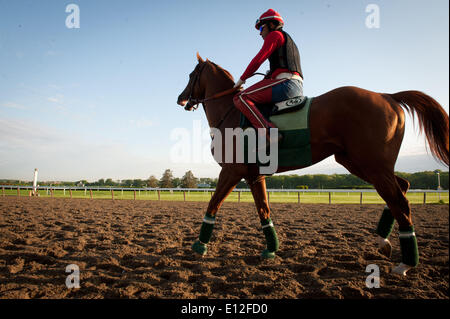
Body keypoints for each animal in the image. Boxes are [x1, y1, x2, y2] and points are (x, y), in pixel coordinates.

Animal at [178, 53, 448, 276]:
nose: (181, 99)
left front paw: (199, 245)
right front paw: (271, 249)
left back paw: (406, 263)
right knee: (401, 188)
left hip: (372, 165)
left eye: (191, 75)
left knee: (400, 201)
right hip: (360, 163)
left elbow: (213, 204)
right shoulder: (255, 175)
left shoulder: (231, 170)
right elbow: (264, 210)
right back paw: (384, 242)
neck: (231, 114)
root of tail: (386, 96)